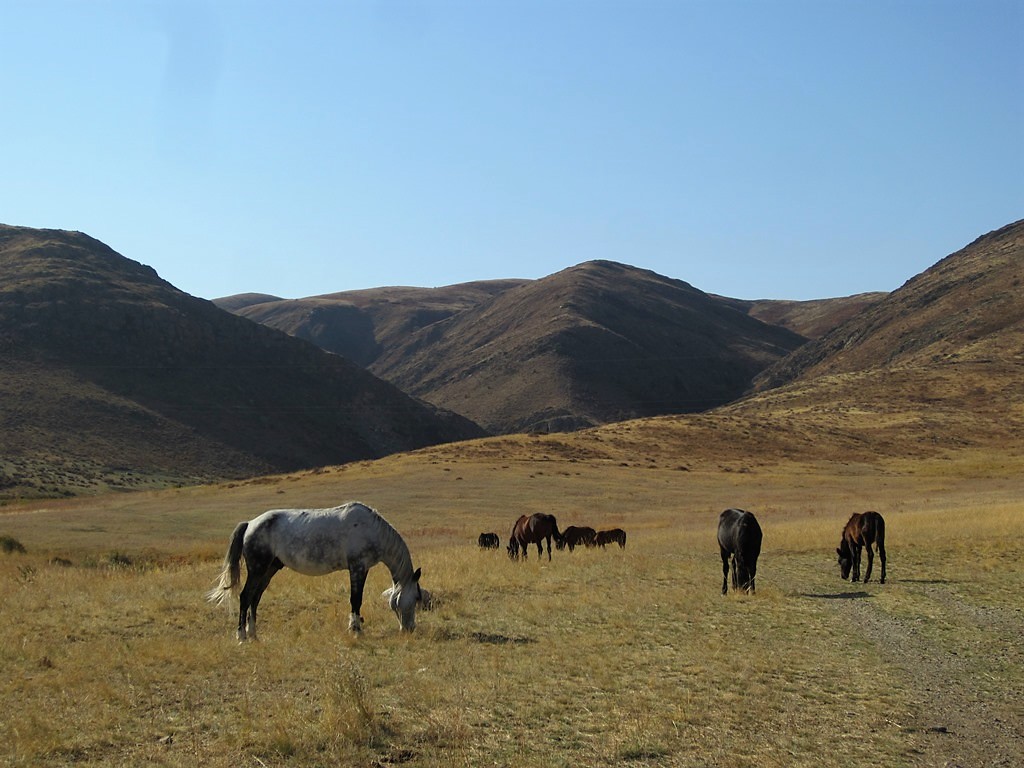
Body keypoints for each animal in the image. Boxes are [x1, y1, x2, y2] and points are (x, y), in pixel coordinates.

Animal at [207, 501, 432, 638]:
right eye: (415, 599)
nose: (409, 629)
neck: (371, 530)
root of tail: (250, 524)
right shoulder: (357, 568)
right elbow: (355, 599)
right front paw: (356, 630)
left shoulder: (362, 569)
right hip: (257, 568)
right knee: (246, 596)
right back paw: (242, 636)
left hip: (269, 569)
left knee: (255, 598)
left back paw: (253, 634)